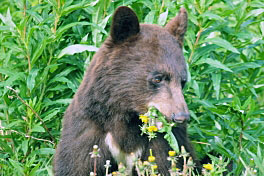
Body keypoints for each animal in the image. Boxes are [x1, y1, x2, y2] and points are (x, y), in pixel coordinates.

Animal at [54, 6, 201, 175]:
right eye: (157, 78)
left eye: (183, 81)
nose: (181, 117)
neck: (124, 118)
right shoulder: (87, 130)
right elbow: (76, 165)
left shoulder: (166, 142)